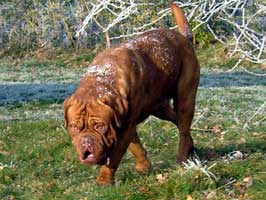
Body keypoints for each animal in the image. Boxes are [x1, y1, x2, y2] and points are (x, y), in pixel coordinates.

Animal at [62, 3, 200, 185]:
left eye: (100, 126)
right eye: (75, 127)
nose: (86, 141)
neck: (103, 79)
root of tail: (184, 38)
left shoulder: (125, 127)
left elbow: (115, 156)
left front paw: (104, 180)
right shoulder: (125, 123)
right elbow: (135, 147)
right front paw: (144, 167)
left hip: (185, 97)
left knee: (183, 126)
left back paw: (183, 156)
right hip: (159, 106)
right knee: (178, 120)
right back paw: (191, 147)